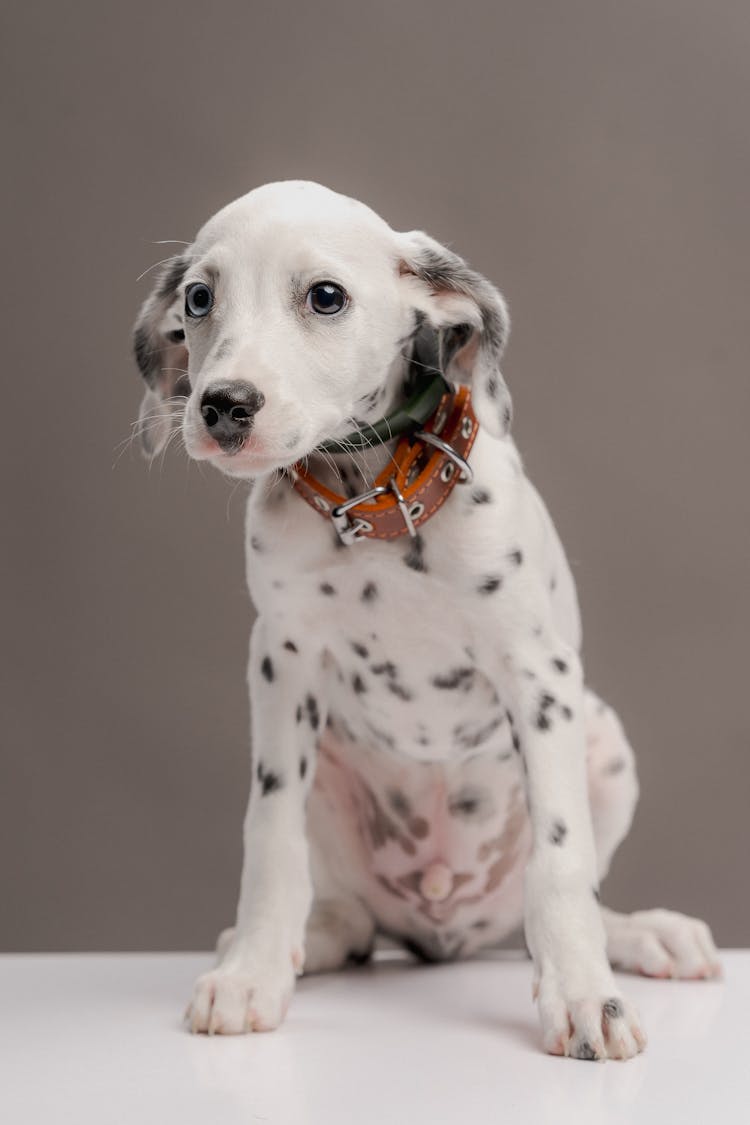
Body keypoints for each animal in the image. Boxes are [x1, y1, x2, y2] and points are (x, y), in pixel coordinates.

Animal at [132, 180, 719, 1057]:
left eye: (326, 297)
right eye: (199, 299)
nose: (223, 405)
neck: (375, 502)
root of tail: (445, 925)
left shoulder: (539, 674)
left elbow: (561, 858)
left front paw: (585, 995)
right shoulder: (281, 662)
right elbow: (269, 839)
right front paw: (251, 972)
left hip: (605, 742)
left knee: (571, 889)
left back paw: (645, 933)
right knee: (347, 915)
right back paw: (301, 940)